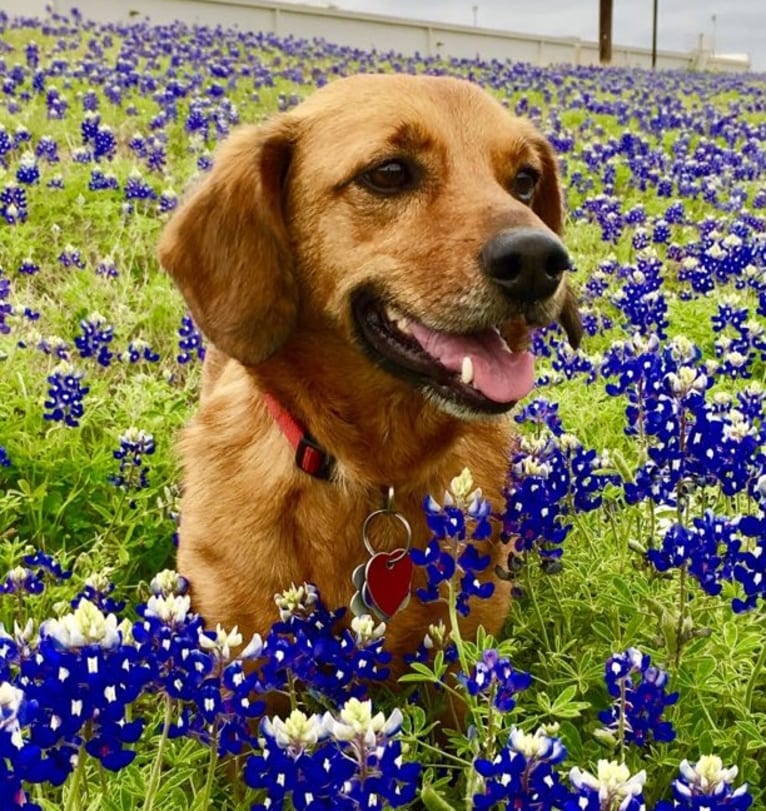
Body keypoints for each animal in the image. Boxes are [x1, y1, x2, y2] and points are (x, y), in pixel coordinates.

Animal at [158, 76, 584, 672]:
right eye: (388, 172)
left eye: (525, 180)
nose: (539, 260)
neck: (373, 470)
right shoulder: (238, 649)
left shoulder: (458, 651)